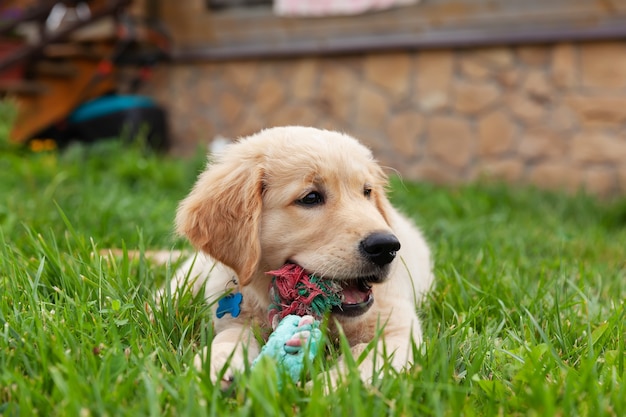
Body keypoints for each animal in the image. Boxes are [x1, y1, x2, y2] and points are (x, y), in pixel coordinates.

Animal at [166, 125, 432, 386]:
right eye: (311, 198)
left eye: (367, 192)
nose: (387, 247)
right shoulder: (236, 319)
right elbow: (230, 336)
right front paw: (216, 363)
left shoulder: (397, 331)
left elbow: (362, 359)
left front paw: (326, 387)